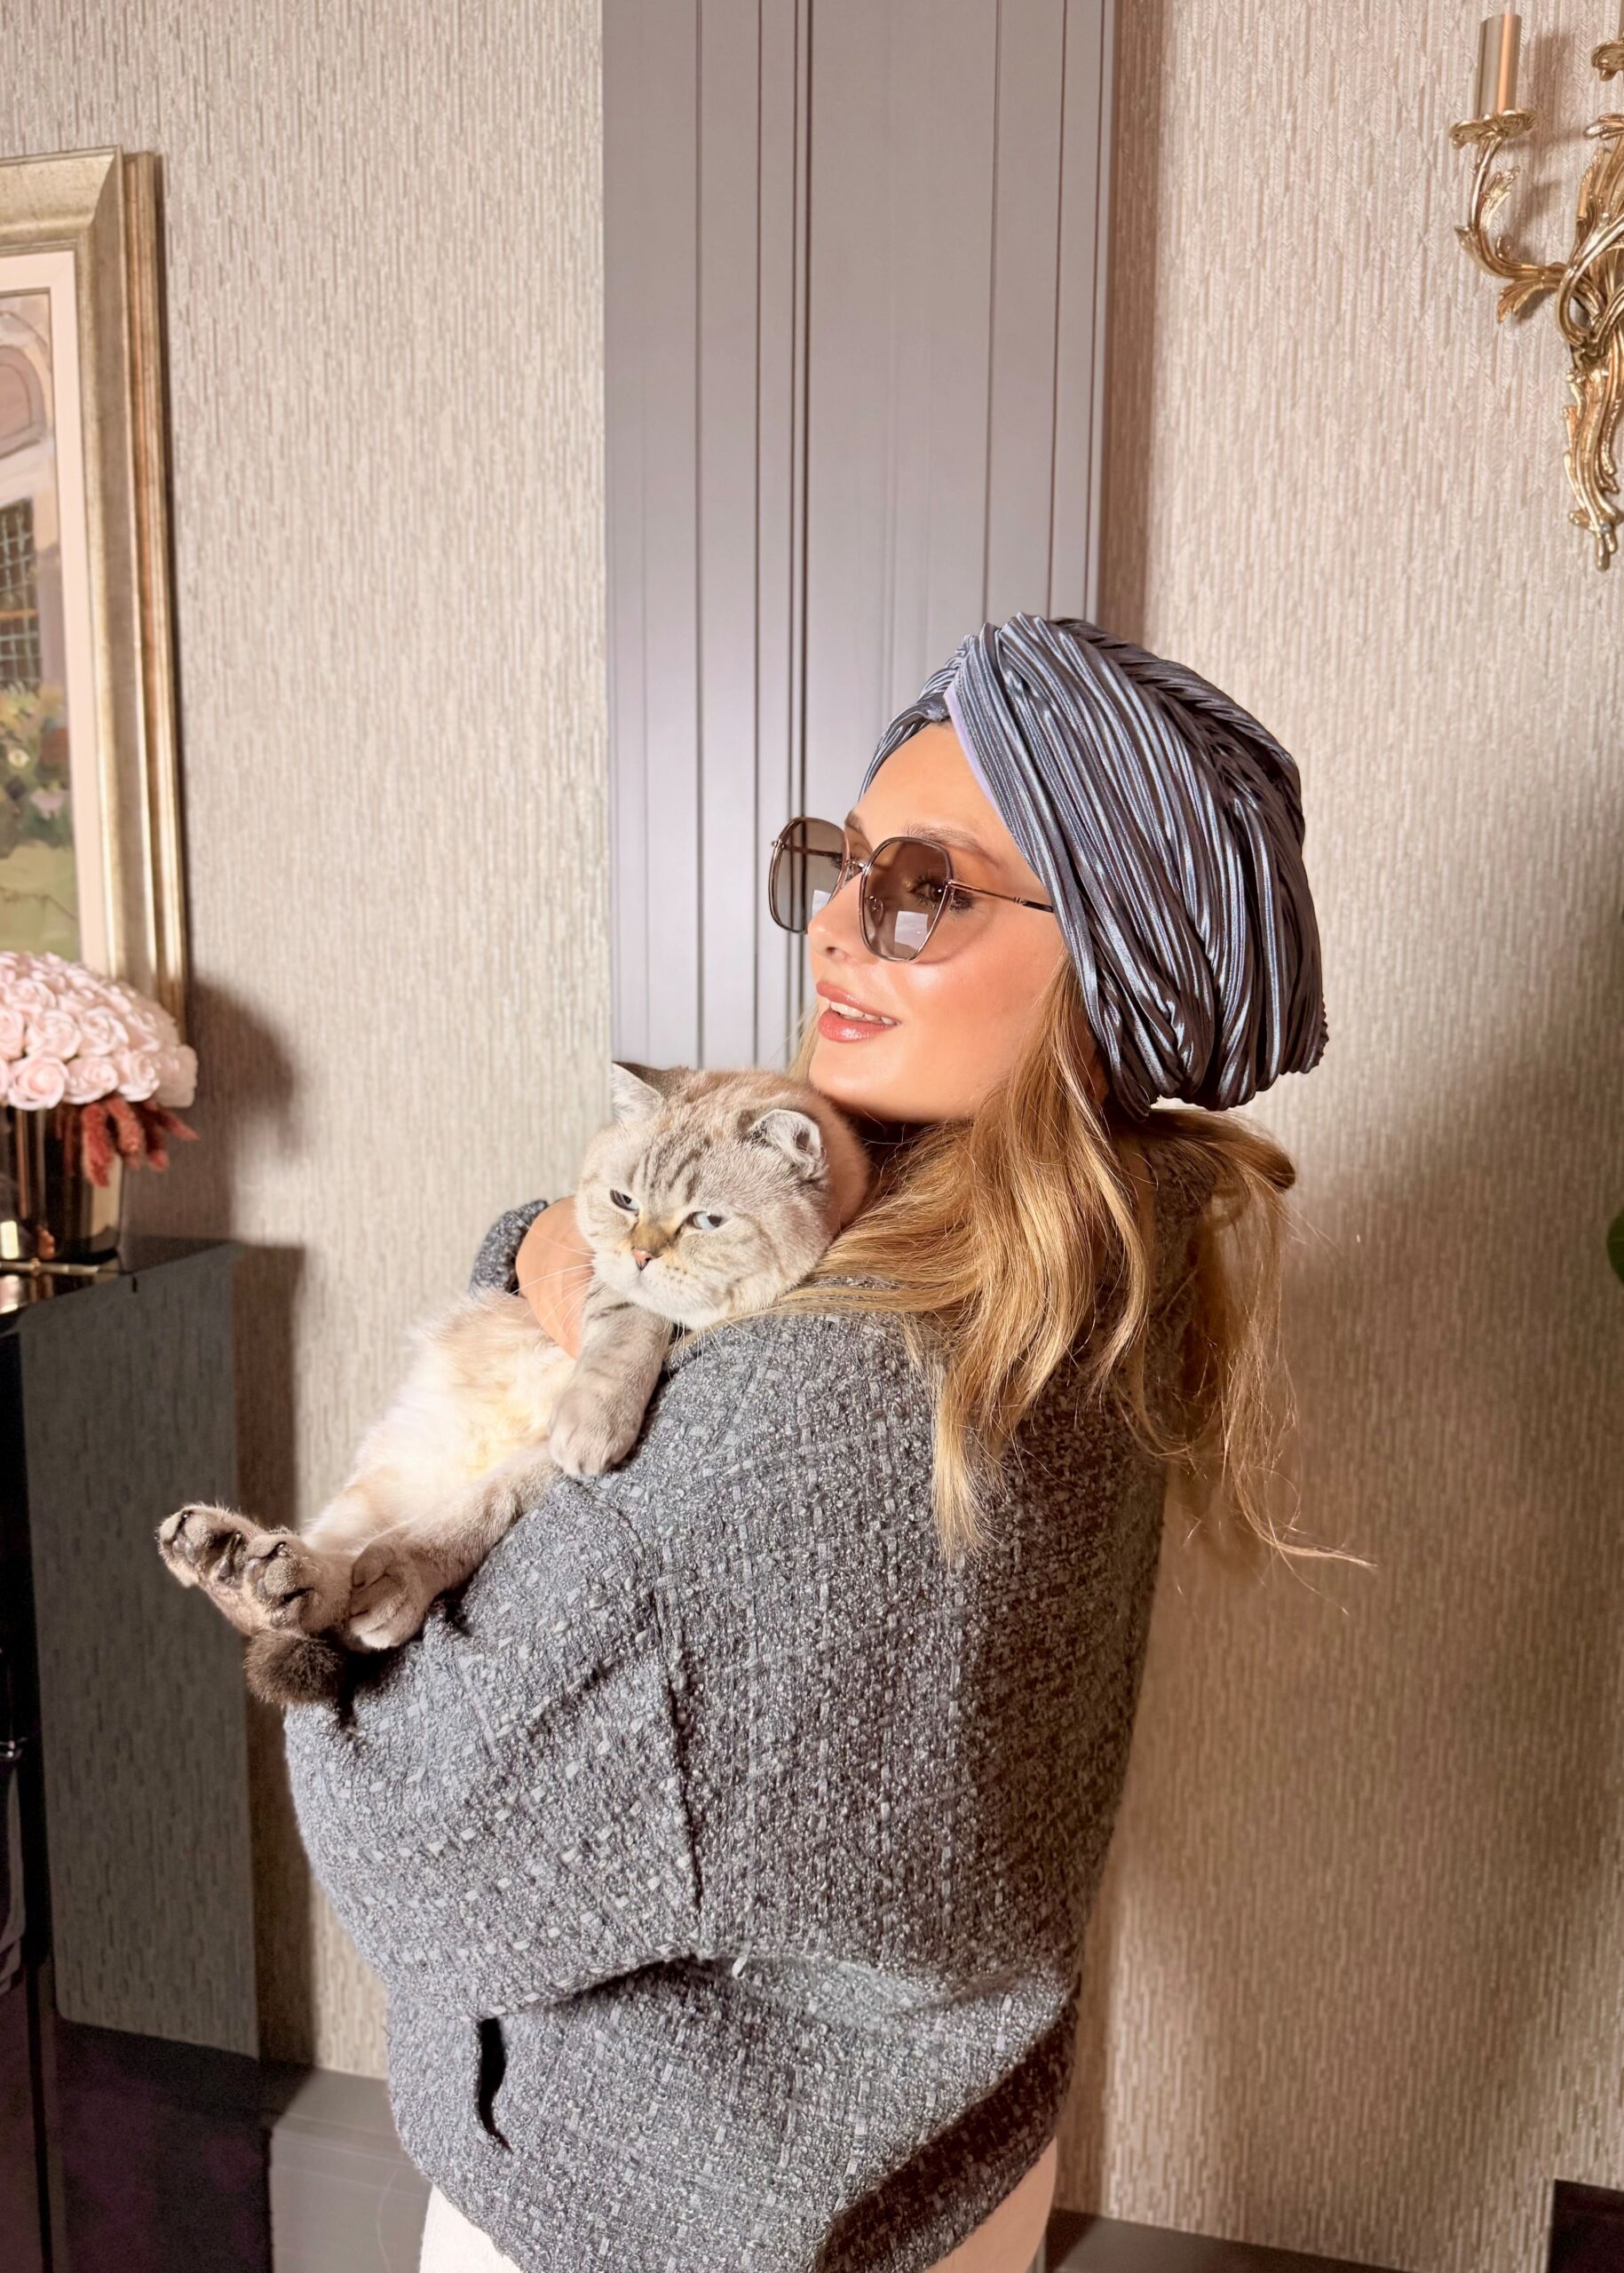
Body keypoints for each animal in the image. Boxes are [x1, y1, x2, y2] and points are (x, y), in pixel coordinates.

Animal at [156, 1061, 872, 1707]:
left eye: (706, 1222)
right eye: (624, 1202)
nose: (641, 1253)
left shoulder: (546, 1462)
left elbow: (481, 1509)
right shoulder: (596, 1277)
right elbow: (630, 1315)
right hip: (393, 1471)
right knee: (318, 1578)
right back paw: (228, 1559)